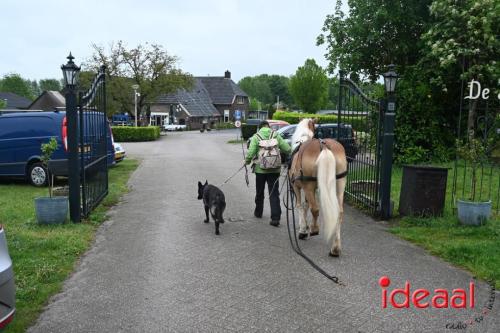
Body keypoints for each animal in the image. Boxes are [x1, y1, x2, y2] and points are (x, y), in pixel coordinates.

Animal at [290, 118, 348, 255]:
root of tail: (324, 146)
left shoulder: (297, 187)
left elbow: (300, 206)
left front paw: (303, 230)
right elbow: (305, 206)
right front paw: (304, 227)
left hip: (309, 187)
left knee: (315, 209)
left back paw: (314, 229)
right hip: (340, 185)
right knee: (339, 212)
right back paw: (335, 248)